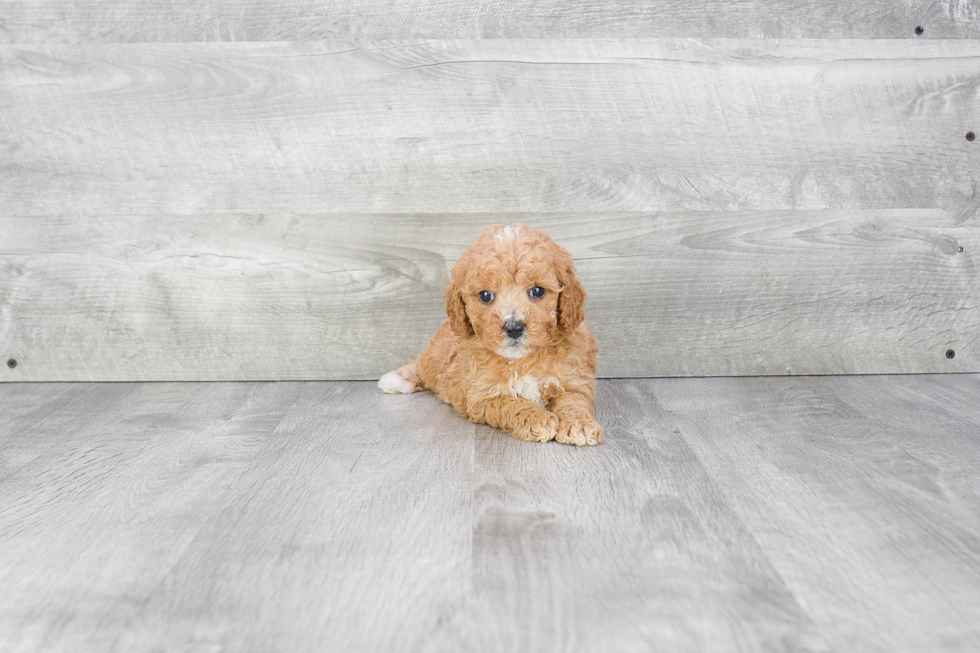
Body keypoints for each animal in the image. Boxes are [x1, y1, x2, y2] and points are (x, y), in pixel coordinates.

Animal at [378, 223, 600, 444]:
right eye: (485, 295)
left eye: (537, 291)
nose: (514, 327)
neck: (520, 360)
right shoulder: (482, 396)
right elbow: (512, 403)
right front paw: (539, 418)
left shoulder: (574, 379)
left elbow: (574, 400)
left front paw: (579, 425)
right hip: (437, 354)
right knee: (423, 365)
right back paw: (397, 379)